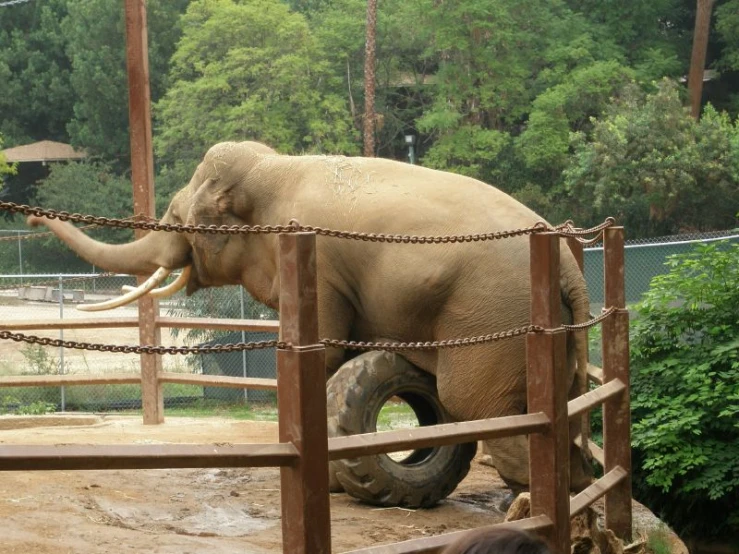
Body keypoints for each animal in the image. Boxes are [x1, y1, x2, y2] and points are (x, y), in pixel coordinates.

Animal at [28, 140, 592, 494]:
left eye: (177, 219)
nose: (32, 215)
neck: (275, 169)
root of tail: (569, 263)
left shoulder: (319, 265)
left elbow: (324, 353)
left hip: (495, 312)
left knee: (476, 403)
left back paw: (525, 500)